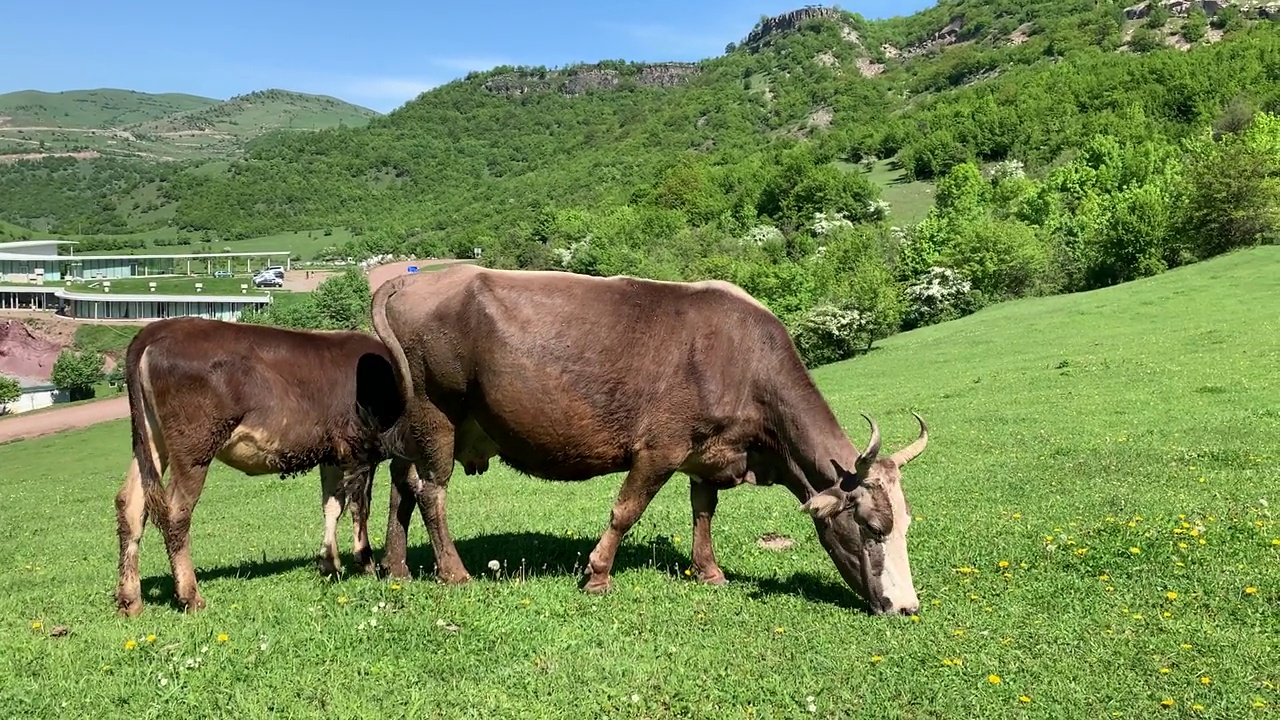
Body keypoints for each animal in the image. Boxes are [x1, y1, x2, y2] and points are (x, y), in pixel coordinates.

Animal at [371, 266, 931, 614]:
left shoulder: (709, 452)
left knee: (402, 482)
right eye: (872, 527)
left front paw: (709, 570)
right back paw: (453, 573)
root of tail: (410, 279)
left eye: (906, 523)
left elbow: (703, 510)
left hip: (423, 426)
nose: (906, 607)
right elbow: (626, 511)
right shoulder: (660, 447)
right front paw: (597, 575)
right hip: (436, 413)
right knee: (431, 491)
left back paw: (396, 568)